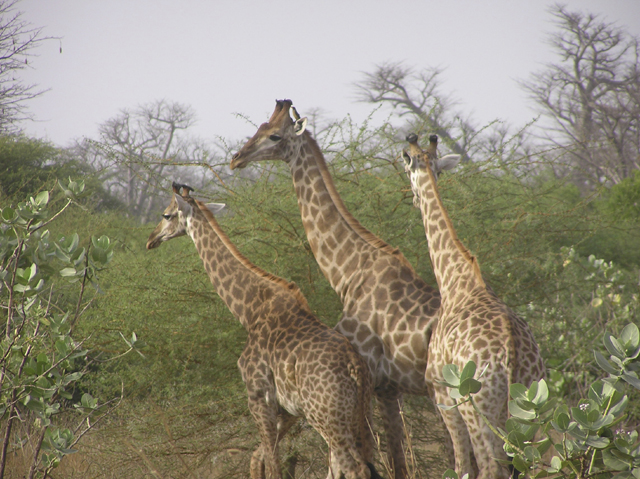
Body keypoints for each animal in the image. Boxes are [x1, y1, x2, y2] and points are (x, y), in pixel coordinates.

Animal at [145, 183, 380, 479]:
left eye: (166, 215)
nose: (151, 239)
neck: (248, 311)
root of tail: (355, 368)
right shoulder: (289, 411)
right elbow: (258, 459)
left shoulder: (258, 397)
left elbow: (272, 465)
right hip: (361, 413)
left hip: (327, 417)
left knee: (353, 467)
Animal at [230, 99, 444, 478]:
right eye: (259, 126)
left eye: (274, 135)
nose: (237, 158)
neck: (348, 273)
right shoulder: (387, 387)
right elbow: (395, 460)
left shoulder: (372, 381)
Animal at [400, 134, 544, 479]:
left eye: (405, 166)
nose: (413, 199)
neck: (454, 279)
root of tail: (511, 355)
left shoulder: (441, 392)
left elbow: (460, 463)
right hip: (528, 408)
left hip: (475, 405)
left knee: (490, 465)